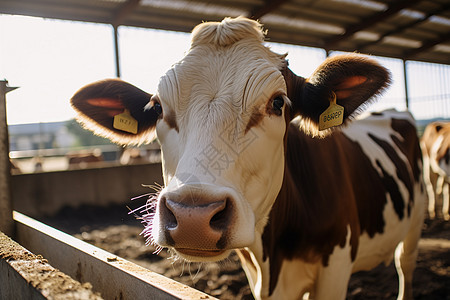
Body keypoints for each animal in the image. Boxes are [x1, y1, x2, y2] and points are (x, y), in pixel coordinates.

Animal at [70, 17, 426, 300]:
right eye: (157, 107)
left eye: (278, 103)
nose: (192, 216)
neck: (272, 255)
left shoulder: (335, 269)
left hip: (416, 218)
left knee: (405, 265)